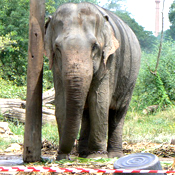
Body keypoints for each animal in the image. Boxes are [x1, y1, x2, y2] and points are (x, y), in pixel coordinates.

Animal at [44, 2, 141, 160]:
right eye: (57, 47)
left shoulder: (109, 62)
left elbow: (99, 100)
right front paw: (64, 157)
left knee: (117, 113)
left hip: (130, 80)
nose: (59, 154)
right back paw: (83, 153)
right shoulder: (56, 68)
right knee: (85, 113)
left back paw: (114, 155)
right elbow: (61, 102)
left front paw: (97, 156)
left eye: (95, 46)